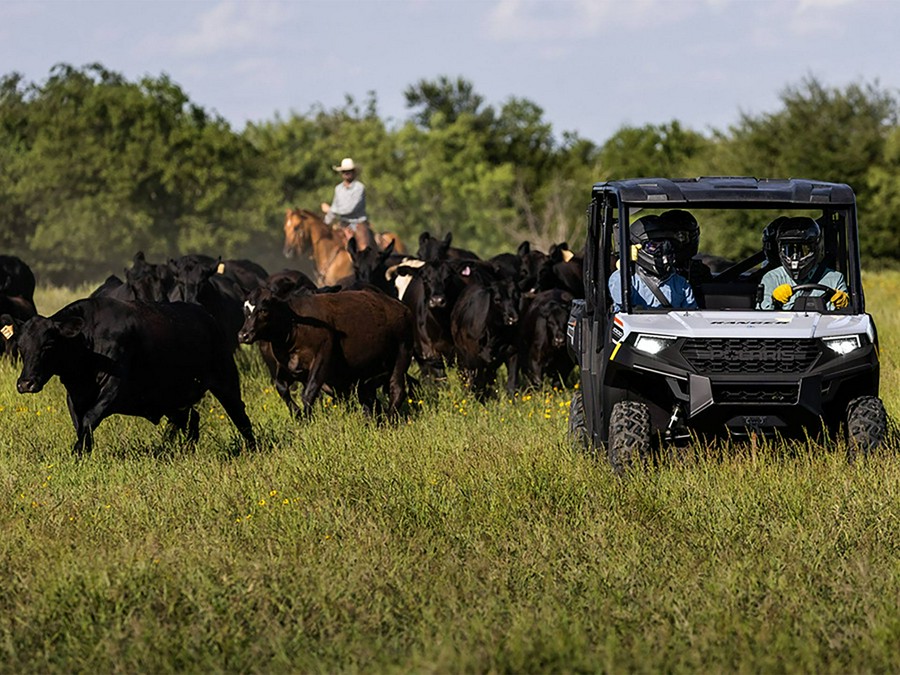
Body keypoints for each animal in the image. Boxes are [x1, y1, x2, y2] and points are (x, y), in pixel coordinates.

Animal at [15, 298, 258, 456]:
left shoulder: (113, 387)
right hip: (170, 397)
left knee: (239, 415)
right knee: (190, 418)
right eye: (20, 347)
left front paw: (77, 451)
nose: (25, 383)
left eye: (48, 345)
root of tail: (207, 316)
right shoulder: (75, 395)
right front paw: (83, 451)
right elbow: (81, 424)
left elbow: (90, 418)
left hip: (225, 380)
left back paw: (253, 448)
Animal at [236, 288, 412, 420]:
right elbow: (282, 388)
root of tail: (400, 306)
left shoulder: (322, 358)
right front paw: (297, 413)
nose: (243, 335)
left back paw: (389, 419)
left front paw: (307, 420)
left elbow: (308, 393)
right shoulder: (288, 367)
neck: (294, 326)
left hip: (402, 353)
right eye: (244, 310)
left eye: (263, 310)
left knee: (397, 390)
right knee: (368, 395)